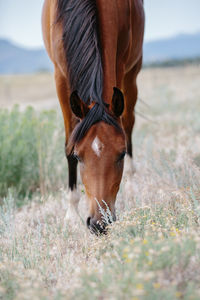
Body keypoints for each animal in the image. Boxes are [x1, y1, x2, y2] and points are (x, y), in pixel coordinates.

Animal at [41, 0, 144, 233]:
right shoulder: (60, 77)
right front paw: (71, 214)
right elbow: (68, 144)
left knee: (129, 124)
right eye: (79, 156)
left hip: (133, 71)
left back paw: (133, 184)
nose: (99, 223)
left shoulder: (120, 63)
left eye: (121, 154)